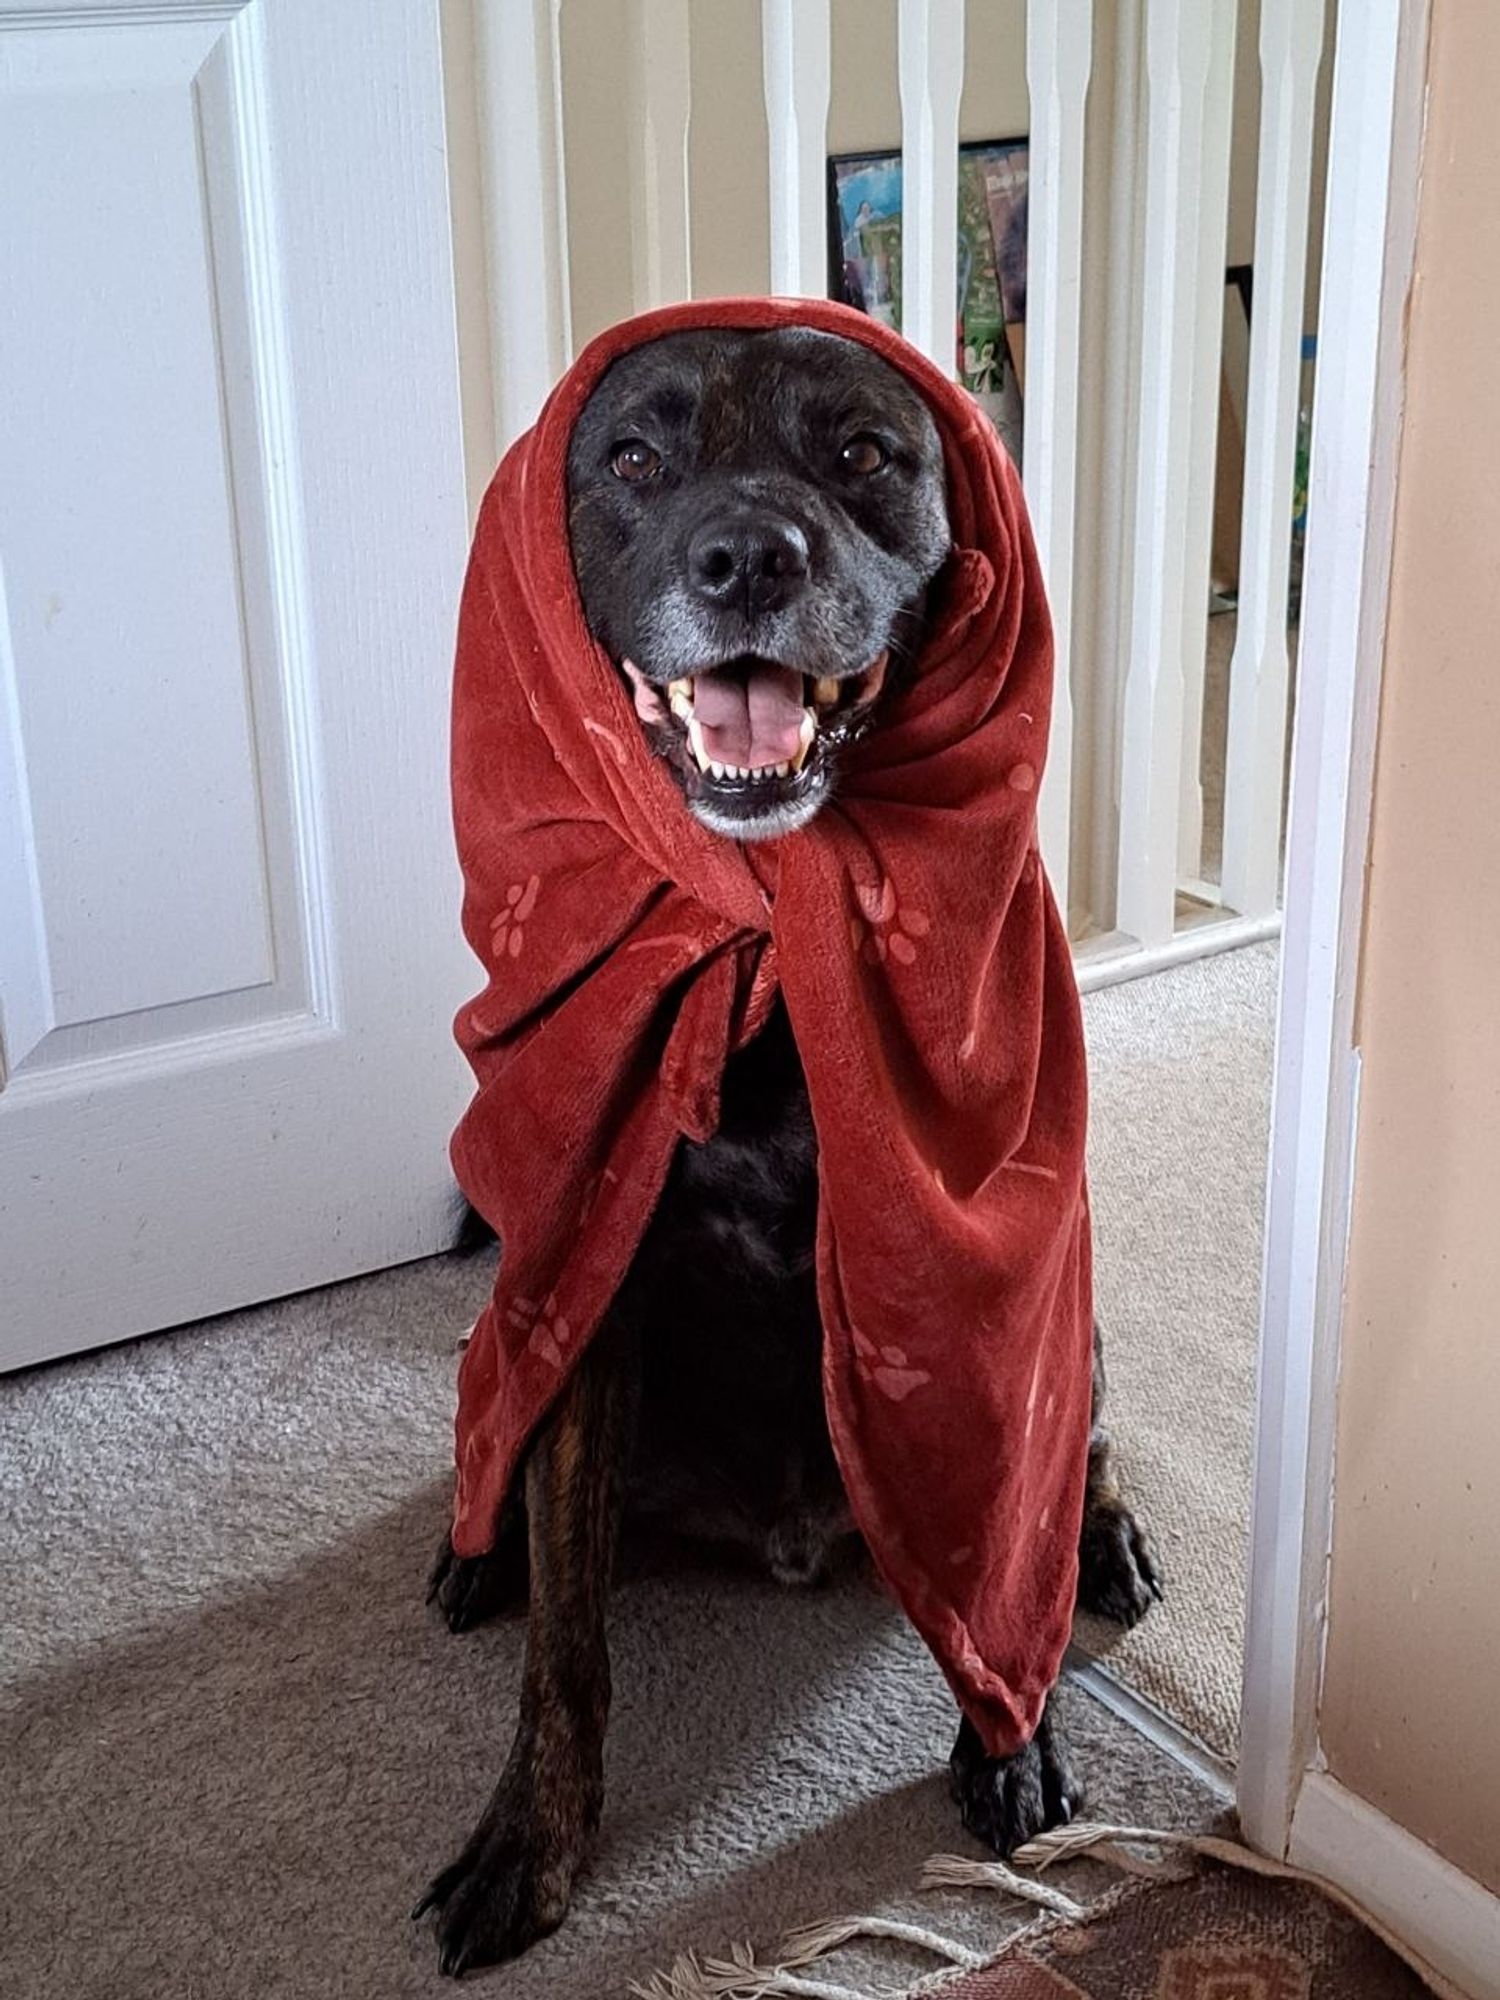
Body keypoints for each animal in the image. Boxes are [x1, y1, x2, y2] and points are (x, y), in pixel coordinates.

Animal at [418, 328, 1168, 1968]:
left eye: (863, 457)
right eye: (634, 458)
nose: (749, 557)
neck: (772, 924)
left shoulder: (992, 1283)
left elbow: (996, 1528)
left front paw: (1011, 1733)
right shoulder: (588, 1264)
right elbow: (568, 1646)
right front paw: (529, 1841)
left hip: (1076, 1308)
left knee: (1080, 1443)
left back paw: (1106, 1540)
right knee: (509, 1447)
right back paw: (475, 1541)